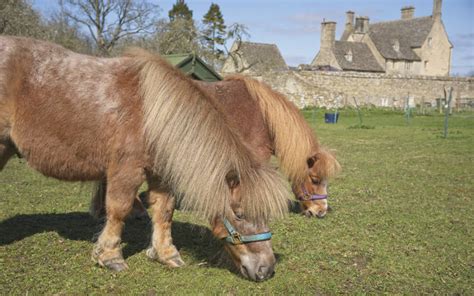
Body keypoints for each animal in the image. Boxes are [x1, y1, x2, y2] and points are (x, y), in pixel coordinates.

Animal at [0, 37, 288, 282]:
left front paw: (165, 254)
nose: (266, 270)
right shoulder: (127, 170)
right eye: (239, 213)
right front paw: (110, 256)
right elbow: (119, 210)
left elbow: (164, 211)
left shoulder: (161, 174)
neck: (153, 116)